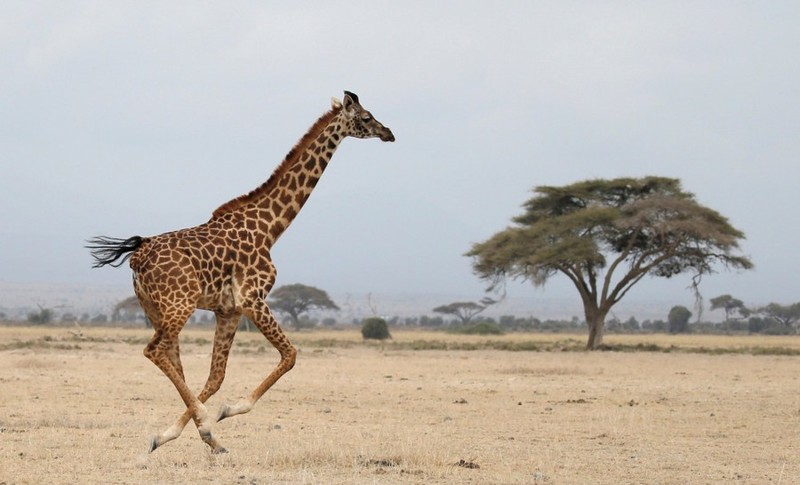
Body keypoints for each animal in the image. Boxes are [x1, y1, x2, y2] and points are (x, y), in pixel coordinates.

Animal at [87, 91, 394, 454]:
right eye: (366, 116)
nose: (388, 133)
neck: (270, 227)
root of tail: (138, 256)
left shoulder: (228, 310)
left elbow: (216, 377)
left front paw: (199, 432)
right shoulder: (253, 298)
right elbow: (289, 355)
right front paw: (223, 414)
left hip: (156, 309)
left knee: (172, 361)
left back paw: (187, 433)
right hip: (179, 305)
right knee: (154, 351)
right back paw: (199, 423)